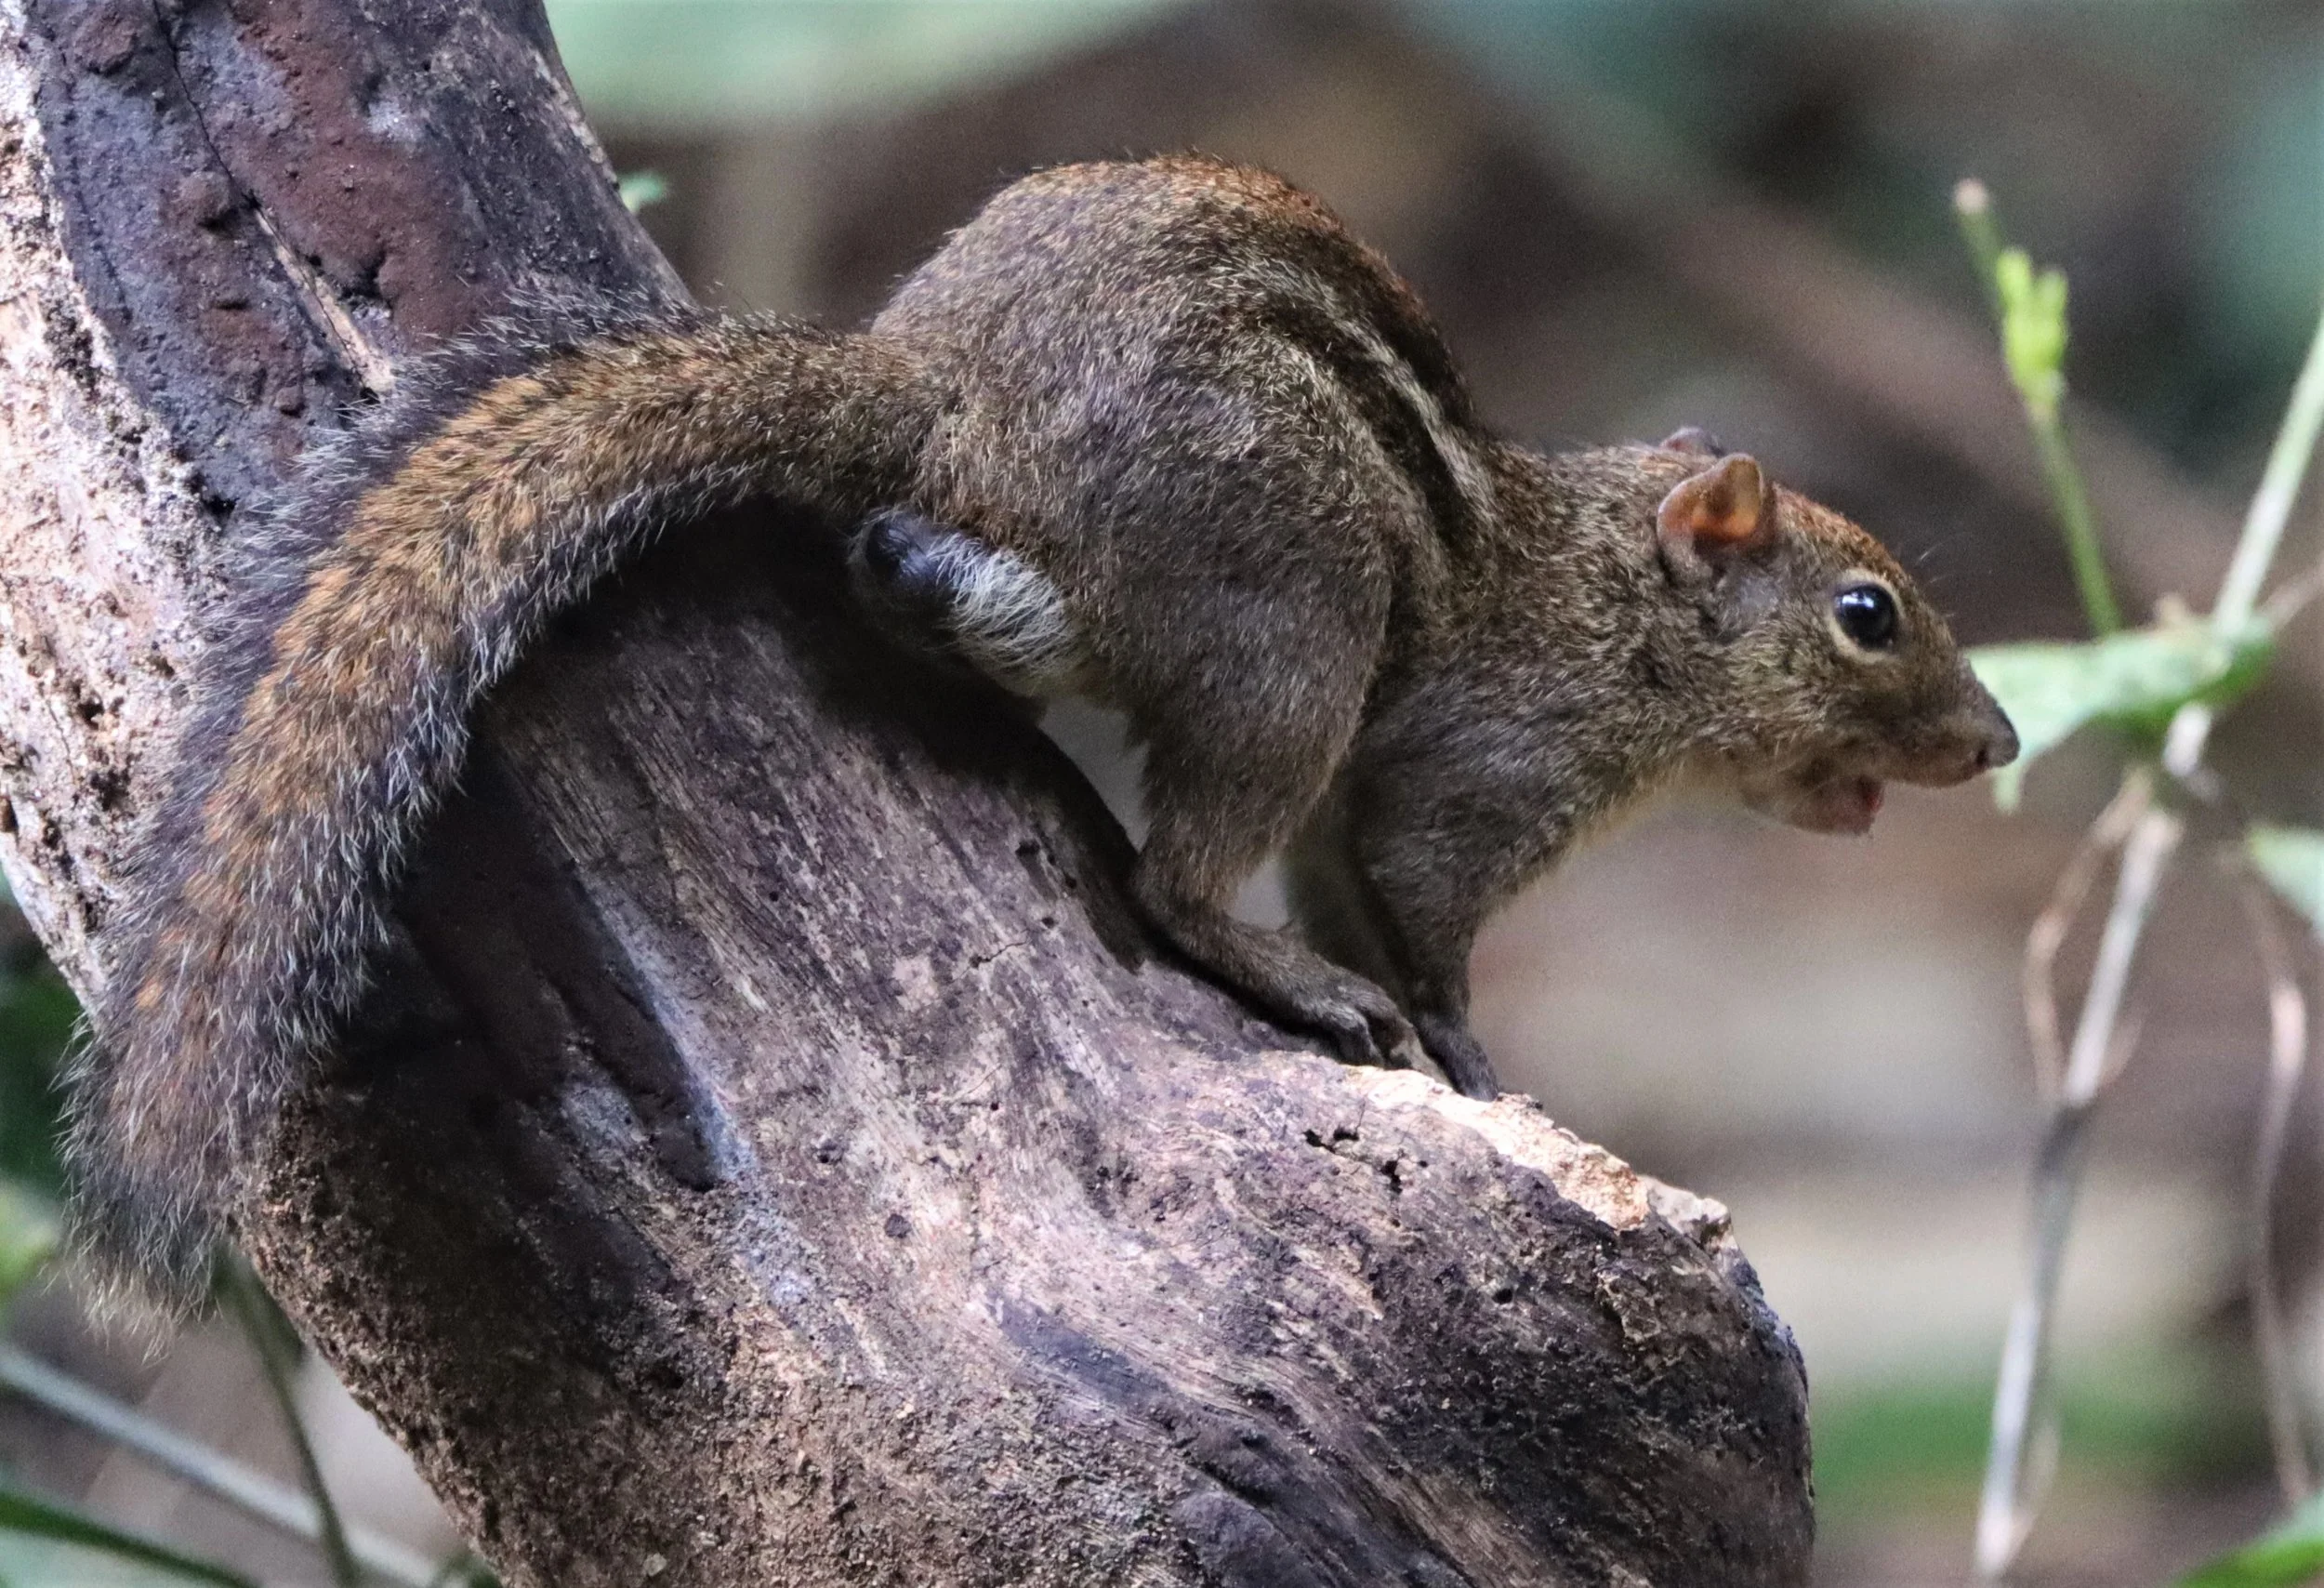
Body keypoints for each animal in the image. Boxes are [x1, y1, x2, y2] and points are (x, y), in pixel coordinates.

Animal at [65, 155, 2017, 1301]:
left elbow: (1349, 883)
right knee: (1172, 878)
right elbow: (1414, 919)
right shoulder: (1466, 780)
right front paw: (1472, 1054)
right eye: (1869, 614)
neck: (1606, 607)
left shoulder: (1367, 816)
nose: (1999, 742)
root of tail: (937, 385)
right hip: (1288, 629)